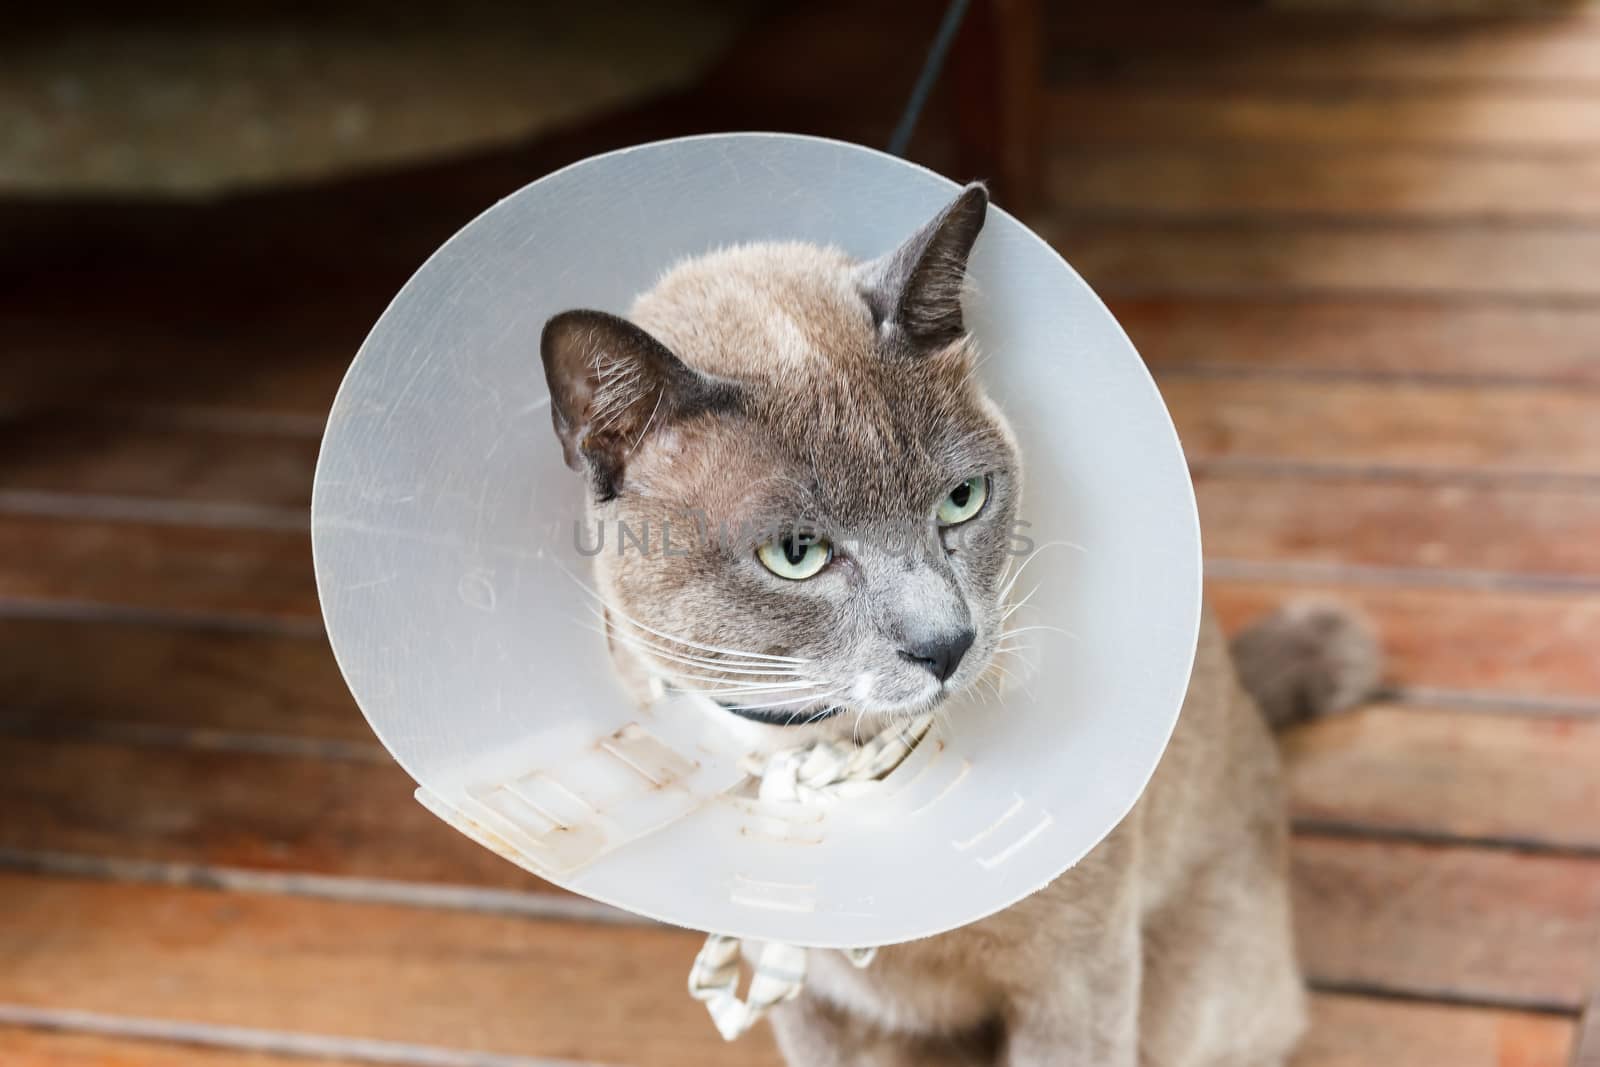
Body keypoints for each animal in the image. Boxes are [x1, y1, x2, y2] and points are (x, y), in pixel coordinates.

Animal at [537, 187, 1376, 1062]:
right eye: (796, 554)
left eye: (962, 500)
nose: (945, 644)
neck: (831, 759)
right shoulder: (815, 1007)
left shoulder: (1074, 985)